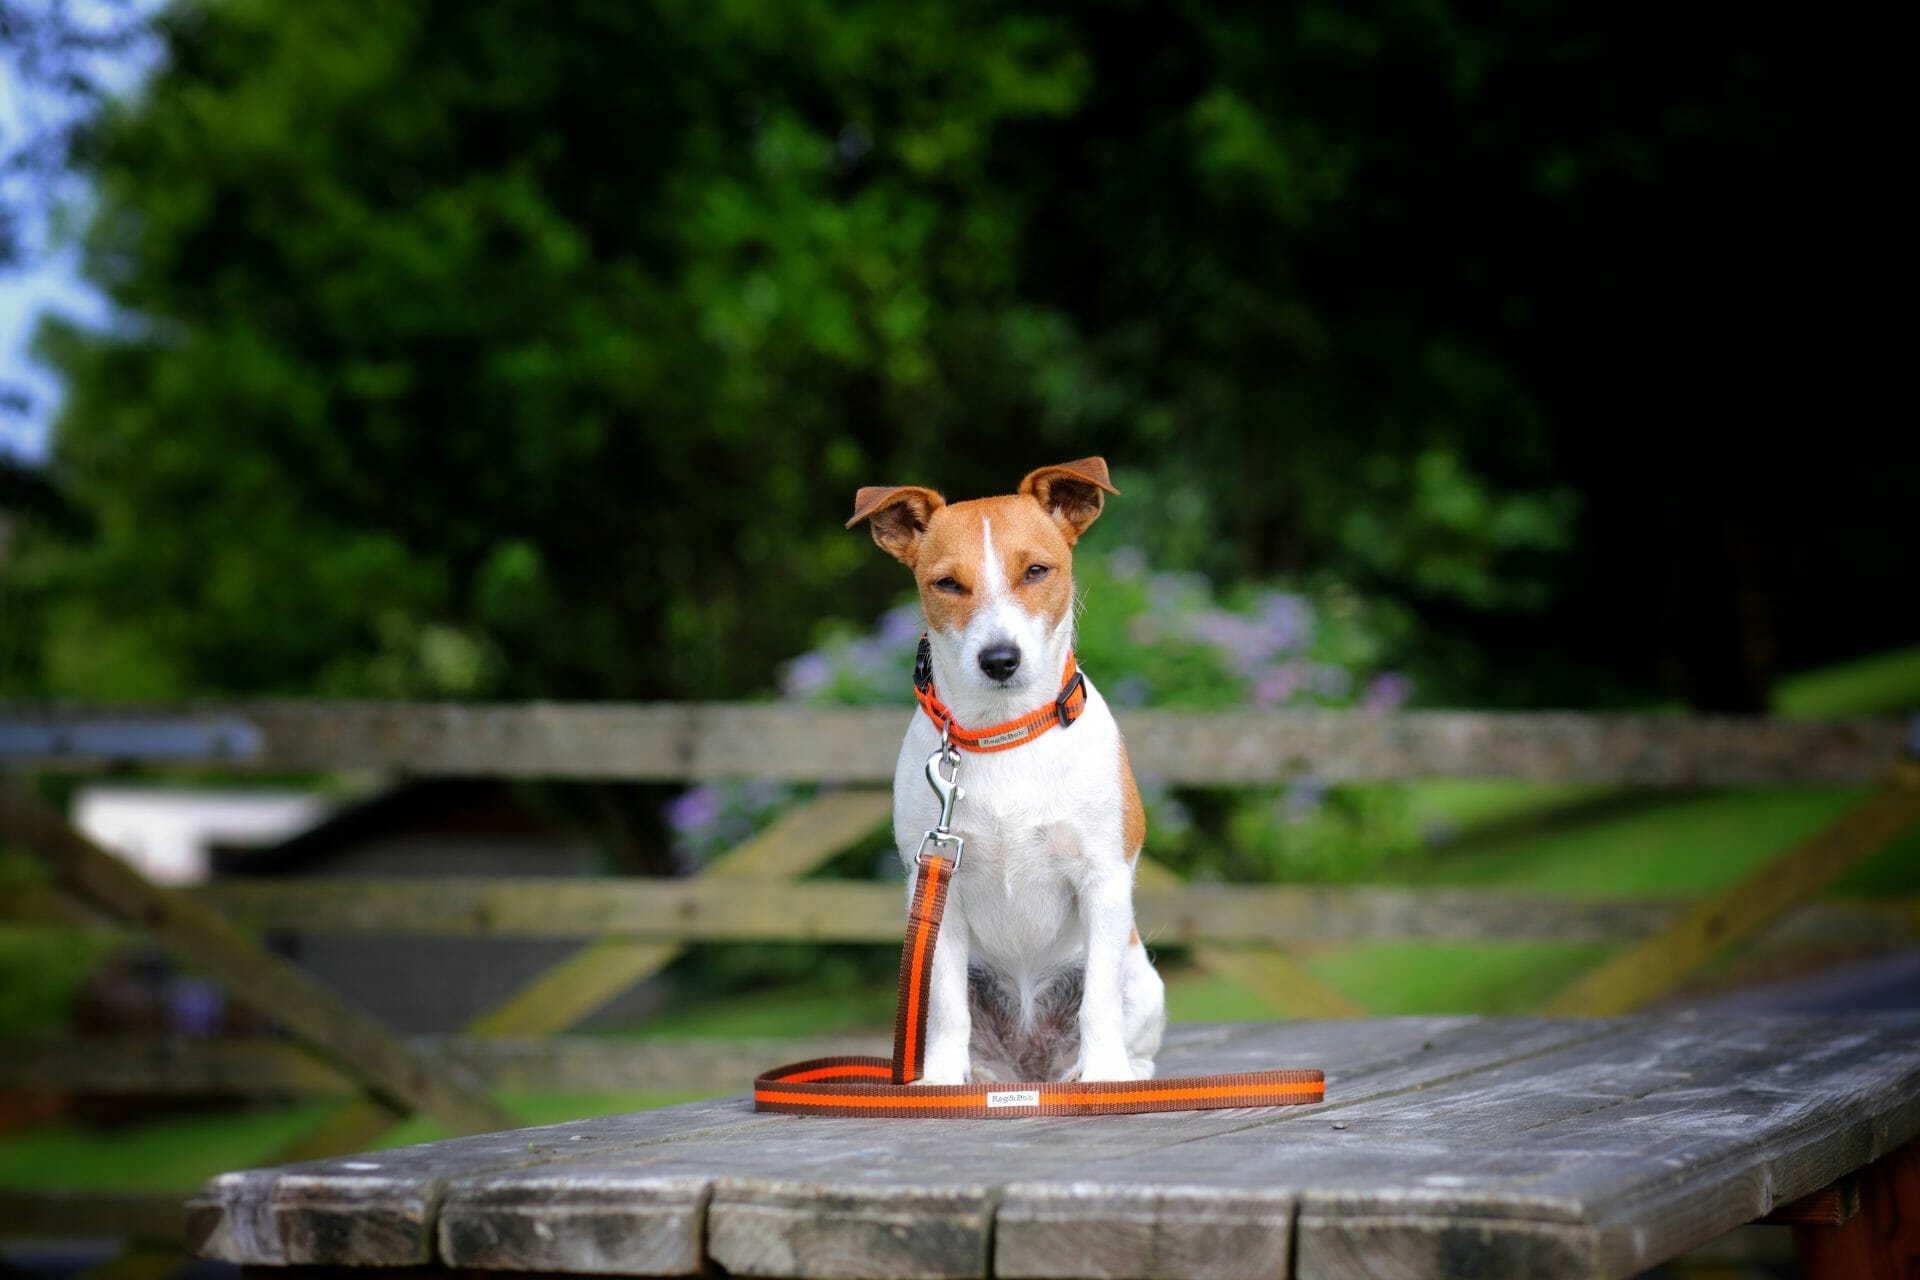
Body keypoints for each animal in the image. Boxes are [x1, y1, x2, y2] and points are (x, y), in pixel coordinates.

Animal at [848, 454, 1159, 1090]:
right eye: (947, 583)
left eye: (1036, 570)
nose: (999, 660)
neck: (1004, 733)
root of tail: (1029, 1070)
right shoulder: (935, 888)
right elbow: (946, 1007)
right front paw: (940, 1084)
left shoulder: (1104, 877)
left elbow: (1099, 1003)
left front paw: (1106, 1076)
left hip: (1143, 979)